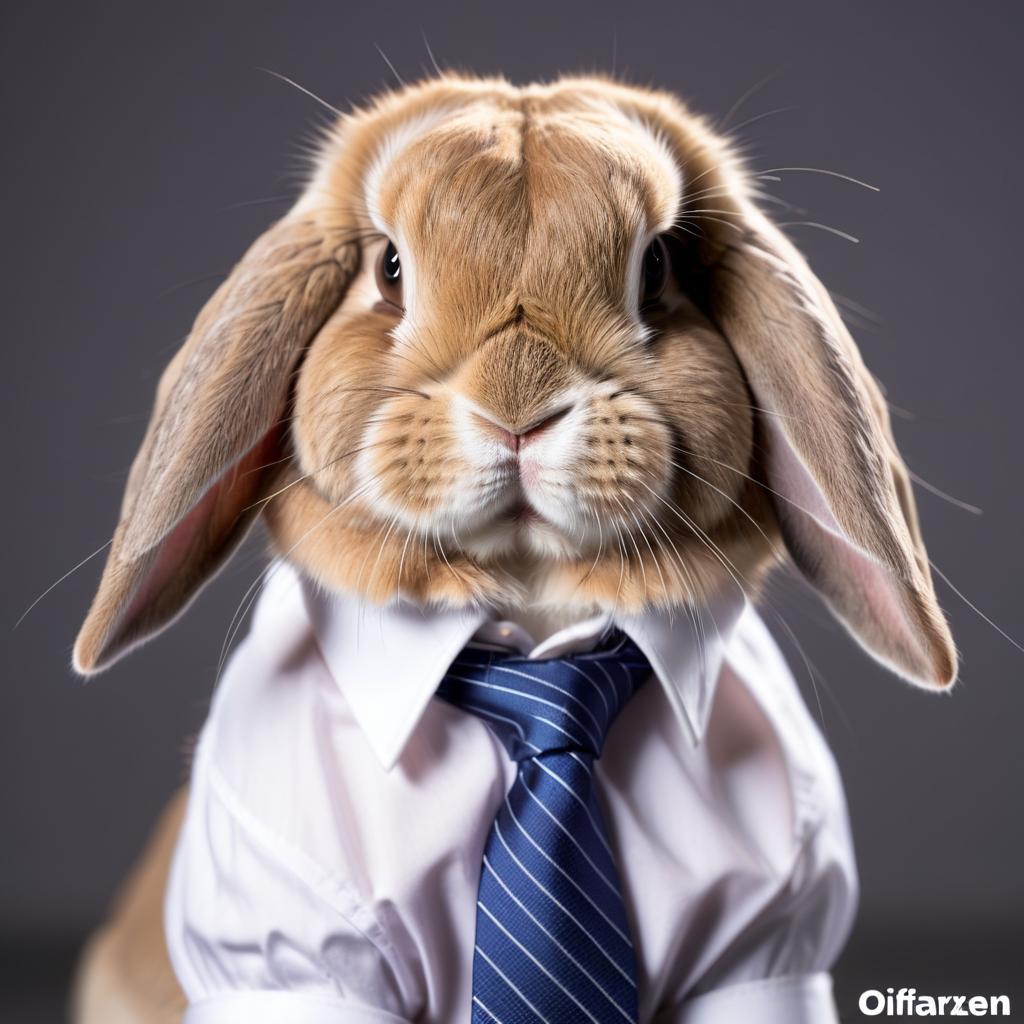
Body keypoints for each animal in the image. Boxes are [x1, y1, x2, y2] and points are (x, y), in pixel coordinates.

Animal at [70, 74, 950, 1024]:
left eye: (657, 269)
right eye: (388, 269)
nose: (518, 409)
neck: (534, 626)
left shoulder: (766, 957)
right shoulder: (291, 963)